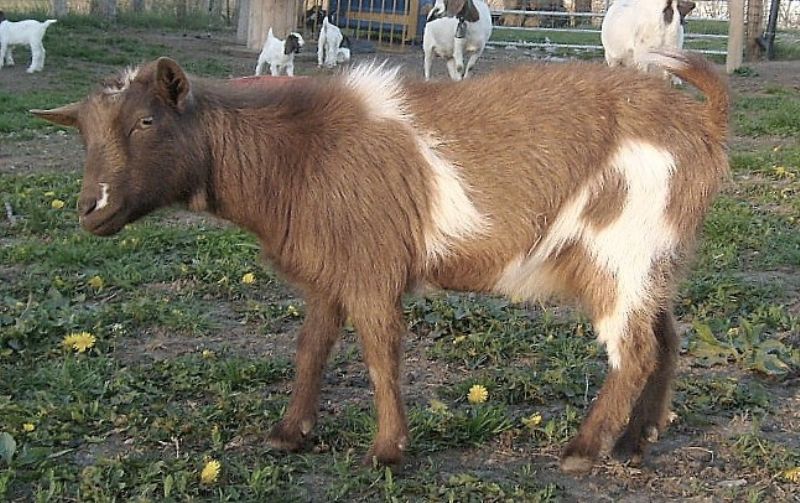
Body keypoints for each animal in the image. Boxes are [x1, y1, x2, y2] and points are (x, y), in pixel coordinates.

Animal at [31, 52, 729, 473]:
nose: (90, 209)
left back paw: (584, 449)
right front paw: (290, 433)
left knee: (633, 350)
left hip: (620, 251)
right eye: (84, 133)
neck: (297, 150)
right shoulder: (327, 272)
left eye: (146, 120)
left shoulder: (370, 264)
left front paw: (387, 450)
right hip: (655, 259)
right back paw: (638, 441)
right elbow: (311, 348)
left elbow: (378, 352)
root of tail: (704, 122)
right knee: (666, 339)